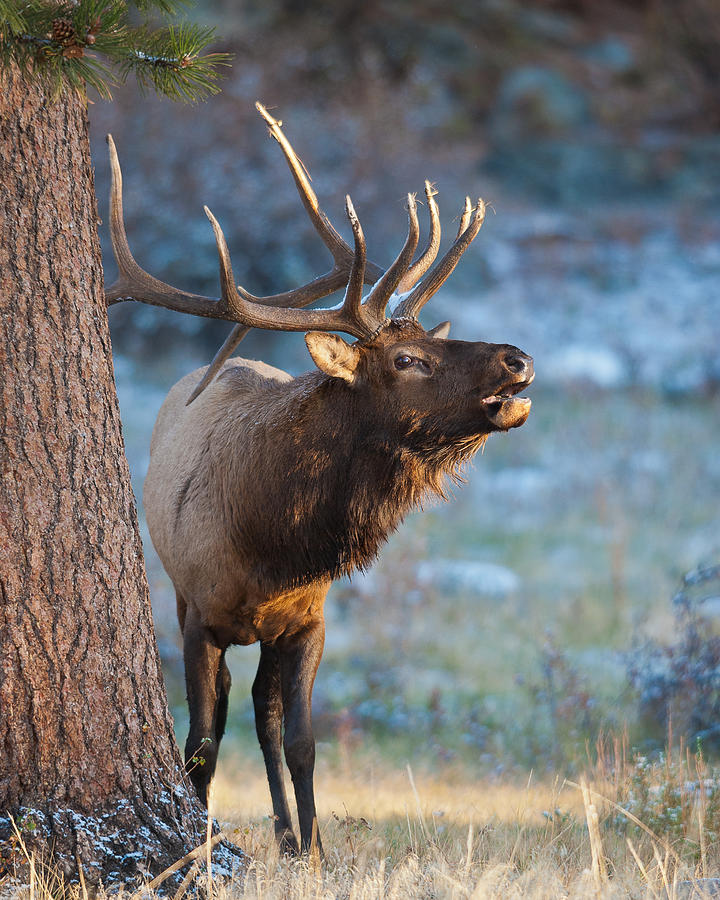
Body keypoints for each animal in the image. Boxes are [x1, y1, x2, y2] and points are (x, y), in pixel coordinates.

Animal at [104, 102, 532, 856]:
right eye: (407, 360)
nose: (516, 359)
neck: (271, 544)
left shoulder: (309, 618)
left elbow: (301, 740)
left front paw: (315, 849)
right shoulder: (198, 614)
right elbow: (200, 746)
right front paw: (199, 848)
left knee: (264, 714)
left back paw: (284, 832)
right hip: (188, 600)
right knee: (230, 712)